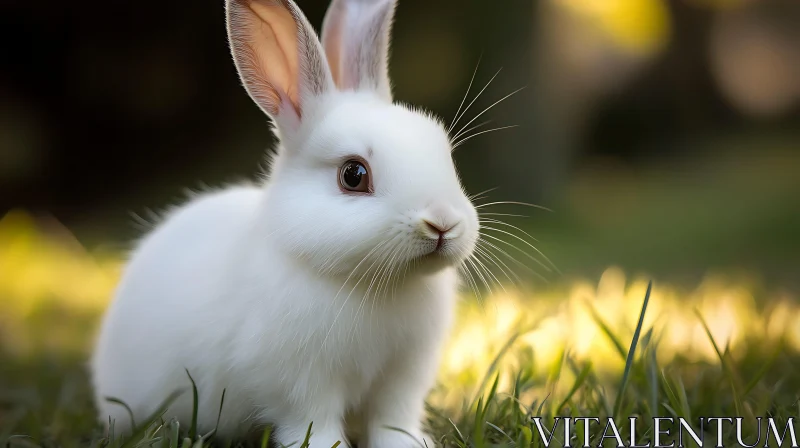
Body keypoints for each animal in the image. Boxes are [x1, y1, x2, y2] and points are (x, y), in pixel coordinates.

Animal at [92, 0, 482, 446]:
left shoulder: (403, 376)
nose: (442, 223)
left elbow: (393, 418)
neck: (378, 285)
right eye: (353, 175)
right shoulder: (300, 383)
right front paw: (327, 445)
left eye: (444, 153)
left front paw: (406, 444)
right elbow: (314, 421)